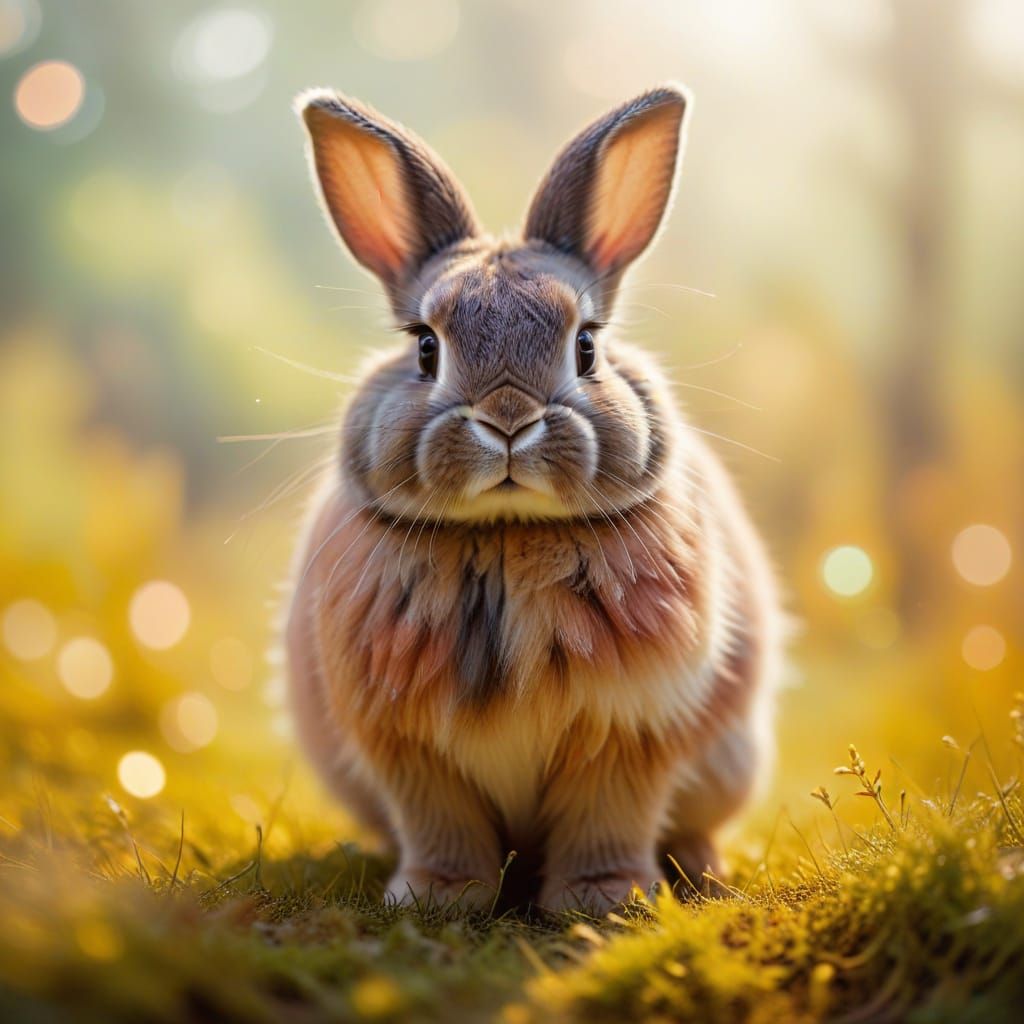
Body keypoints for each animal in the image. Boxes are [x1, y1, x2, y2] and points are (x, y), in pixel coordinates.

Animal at [285, 83, 782, 914]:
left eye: (586, 347)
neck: (506, 532)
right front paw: (438, 897)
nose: (509, 420)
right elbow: (439, 824)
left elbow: (608, 819)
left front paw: (603, 900)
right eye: (426, 347)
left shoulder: (629, 734)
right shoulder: (409, 752)